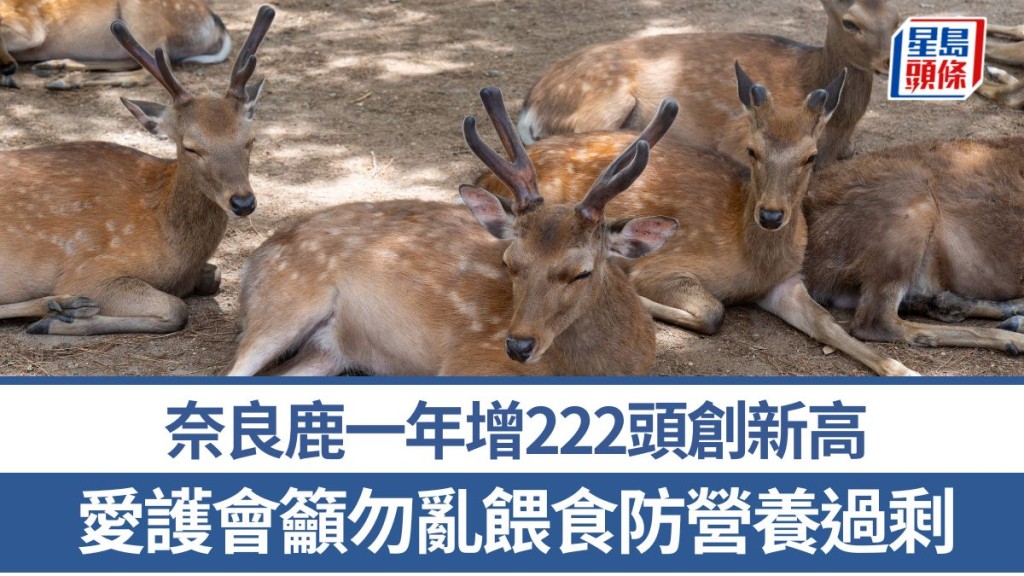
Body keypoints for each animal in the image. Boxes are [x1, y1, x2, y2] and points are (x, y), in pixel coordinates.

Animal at [0, 0, 231, 90]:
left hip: (141, 20)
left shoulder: (32, 29)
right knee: (132, 60)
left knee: (154, 68)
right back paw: (55, 66)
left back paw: (63, 81)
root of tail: (216, 23)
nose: (9, 67)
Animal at [223, 88, 680, 376]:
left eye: (581, 271)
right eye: (510, 262)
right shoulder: (467, 361)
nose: (517, 346)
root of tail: (253, 260)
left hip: (327, 352)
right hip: (283, 303)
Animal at [476, 63, 917, 377]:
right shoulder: (663, 265)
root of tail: (482, 178)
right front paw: (643, 300)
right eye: (752, 150)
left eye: (811, 156)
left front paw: (902, 369)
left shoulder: (786, 282)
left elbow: (829, 325)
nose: (771, 214)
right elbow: (712, 311)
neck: (752, 260)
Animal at [516, 0, 900, 170]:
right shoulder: (743, 132)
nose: (889, 61)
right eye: (850, 23)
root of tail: (529, 107)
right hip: (603, 103)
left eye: (898, 19)